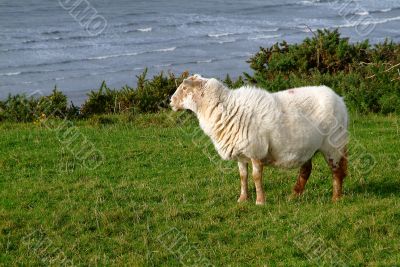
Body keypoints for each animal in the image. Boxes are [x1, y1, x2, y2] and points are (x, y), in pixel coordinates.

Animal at [170, 74, 348, 206]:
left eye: (184, 88)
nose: (170, 101)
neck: (226, 108)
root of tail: (339, 98)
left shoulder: (255, 151)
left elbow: (256, 176)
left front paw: (260, 201)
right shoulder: (241, 155)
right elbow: (243, 176)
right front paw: (242, 199)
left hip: (334, 144)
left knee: (336, 171)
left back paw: (336, 198)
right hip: (307, 146)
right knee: (306, 170)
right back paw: (294, 196)